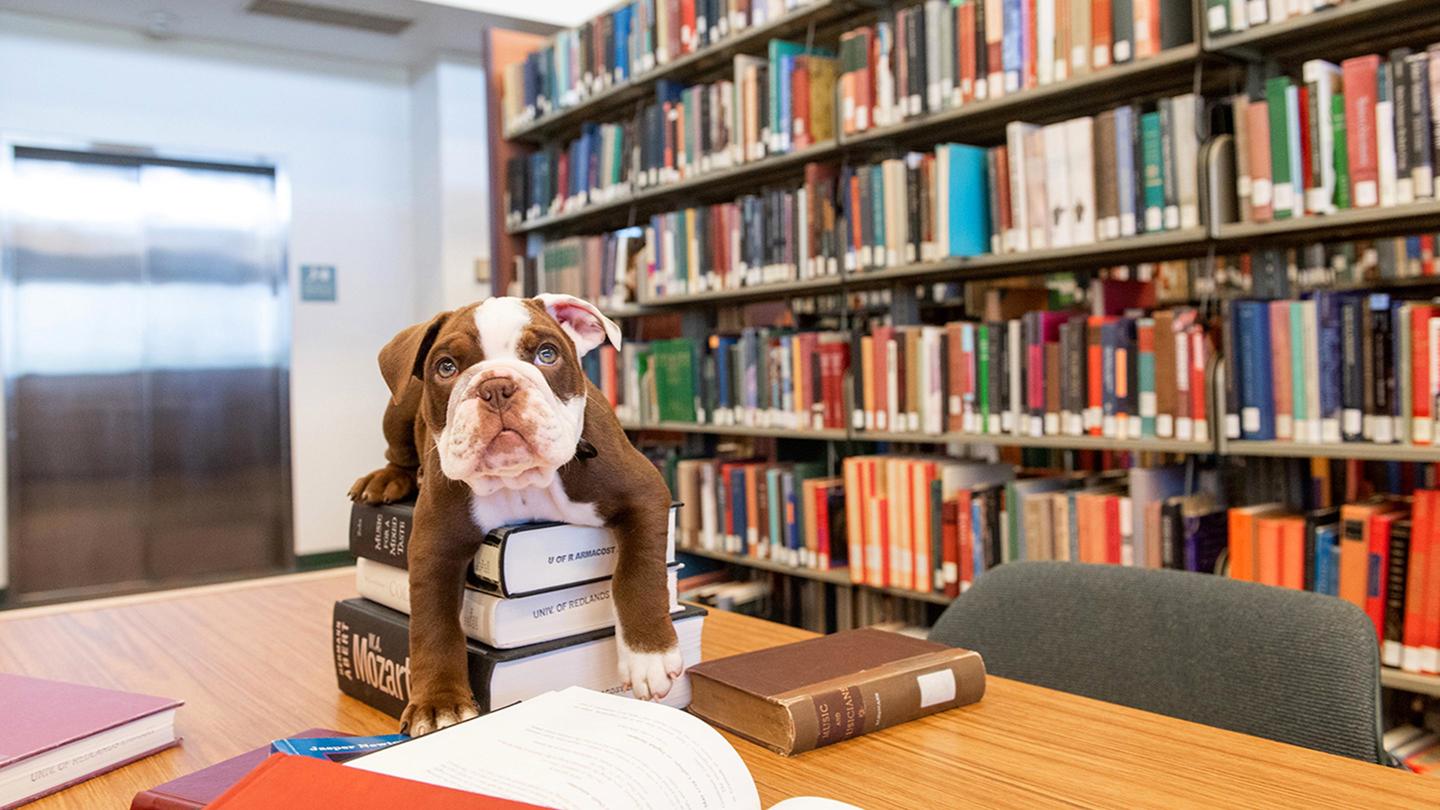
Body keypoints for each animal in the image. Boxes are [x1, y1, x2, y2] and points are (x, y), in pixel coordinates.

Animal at [351, 295, 682, 732]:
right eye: (446, 367)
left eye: (547, 354)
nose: (496, 386)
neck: (521, 480)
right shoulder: (435, 543)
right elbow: (433, 623)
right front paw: (439, 704)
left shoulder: (643, 493)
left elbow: (638, 572)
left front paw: (649, 656)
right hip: (399, 408)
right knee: (397, 454)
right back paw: (385, 480)